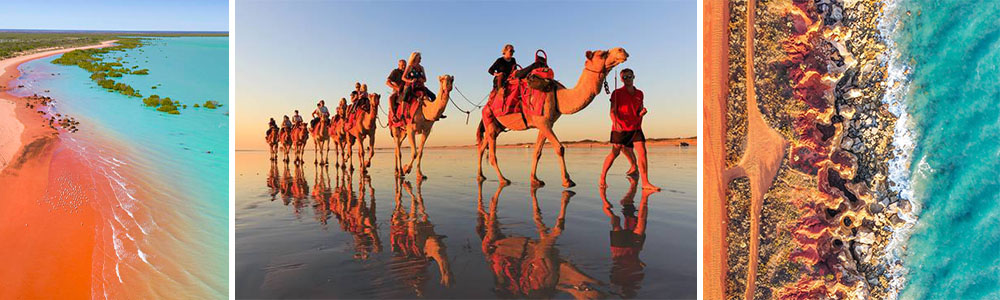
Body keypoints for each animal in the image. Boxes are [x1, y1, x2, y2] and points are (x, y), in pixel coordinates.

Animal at [474, 47, 624, 188]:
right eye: (602, 54)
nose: (622, 51)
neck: (558, 95)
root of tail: (486, 106)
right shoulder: (543, 122)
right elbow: (560, 148)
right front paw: (567, 181)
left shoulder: (546, 124)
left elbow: (537, 152)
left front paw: (535, 180)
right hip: (490, 121)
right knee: (492, 156)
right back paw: (503, 179)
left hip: (497, 126)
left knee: (481, 147)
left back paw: (480, 176)